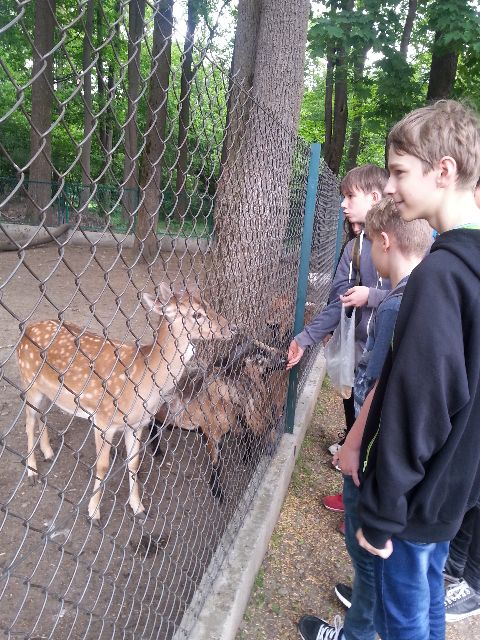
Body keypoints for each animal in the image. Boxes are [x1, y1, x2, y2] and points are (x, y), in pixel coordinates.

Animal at [16, 283, 233, 521]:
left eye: (209, 305)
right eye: (197, 314)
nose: (232, 328)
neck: (142, 382)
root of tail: (27, 330)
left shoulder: (137, 424)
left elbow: (134, 463)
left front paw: (138, 507)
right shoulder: (103, 420)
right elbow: (102, 466)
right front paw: (93, 512)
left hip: (47, 392)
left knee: (41, 414)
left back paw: (48, 452)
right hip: (28, 382)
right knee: (28, 422)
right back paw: (32, 472)